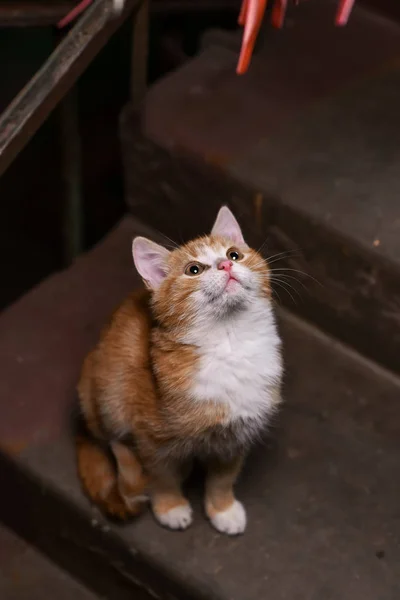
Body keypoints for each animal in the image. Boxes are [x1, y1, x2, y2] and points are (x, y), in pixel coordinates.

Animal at [76, 206, 282, 536]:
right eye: (193, 270)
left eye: (234, 254)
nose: (226, 264)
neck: (229, 344)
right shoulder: (151, 439)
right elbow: (161, 476)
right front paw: (170, 507)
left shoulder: (237, 435)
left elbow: (223, 478)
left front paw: (223, 509)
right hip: (107, 394)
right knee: (115, 444)